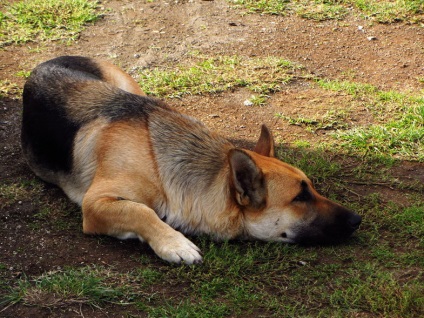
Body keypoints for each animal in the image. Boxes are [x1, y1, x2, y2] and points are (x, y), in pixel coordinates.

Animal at [21, 56, 362, 264]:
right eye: (299, 197)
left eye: (312, 189)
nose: (358, 219)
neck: (160, 167)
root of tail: (44, 63)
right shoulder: (95, 204)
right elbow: (140, 211)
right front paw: (175, 242)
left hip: (129, 85)